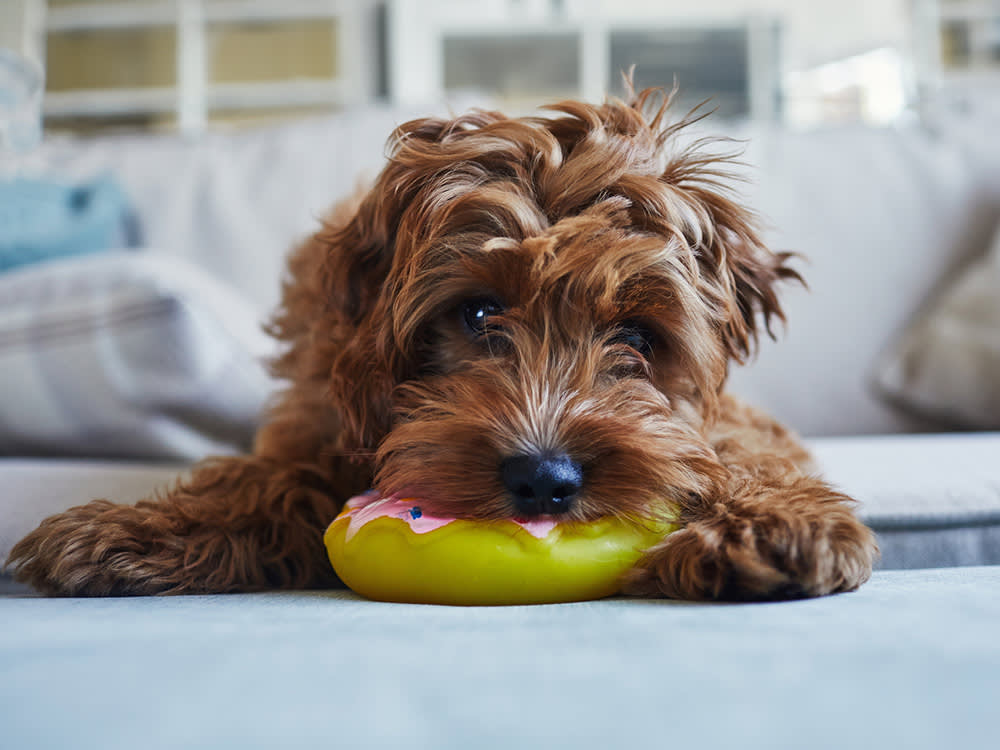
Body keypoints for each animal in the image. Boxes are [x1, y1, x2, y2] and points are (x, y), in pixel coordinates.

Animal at [3, 91, 876, 604]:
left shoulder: (721, 416)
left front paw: (771, 522)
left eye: (636, 335)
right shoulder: (318, 417)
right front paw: (133, 530)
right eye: (477, 312)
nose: (545, 479)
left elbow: (740, 451)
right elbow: (266, 477)